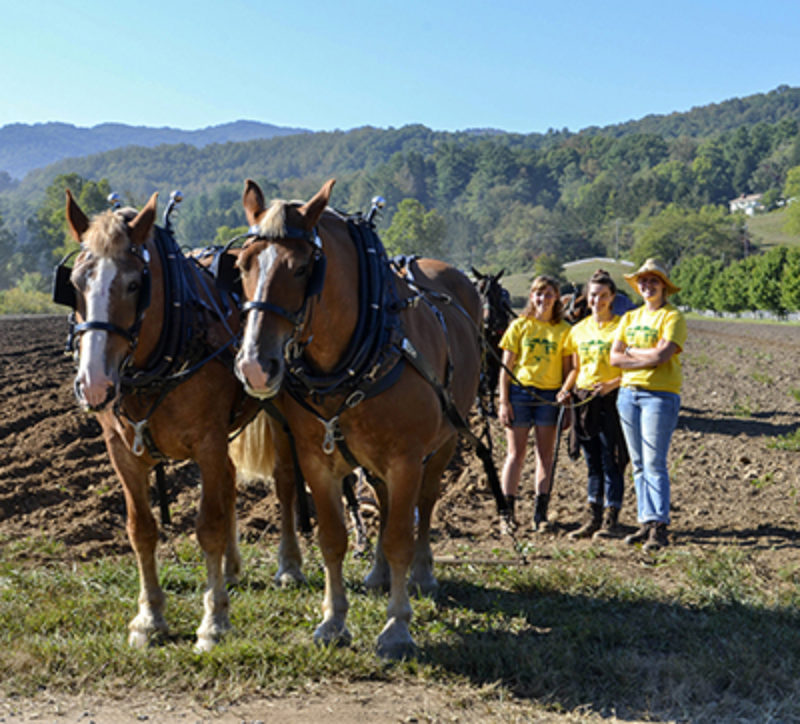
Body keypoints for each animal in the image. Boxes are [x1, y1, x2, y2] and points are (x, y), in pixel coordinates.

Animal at [233, 178, 482, 660]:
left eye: (301, 268)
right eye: (242, 264)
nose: (255, 366)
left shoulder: (407, 459)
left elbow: (402, 536)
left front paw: (397, 627)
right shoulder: (317, 460)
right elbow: (334, 539)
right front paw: (333, 621)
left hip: (444, 443)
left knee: (426, 503)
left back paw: (422, 575)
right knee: (383, 503)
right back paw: (379, 574)